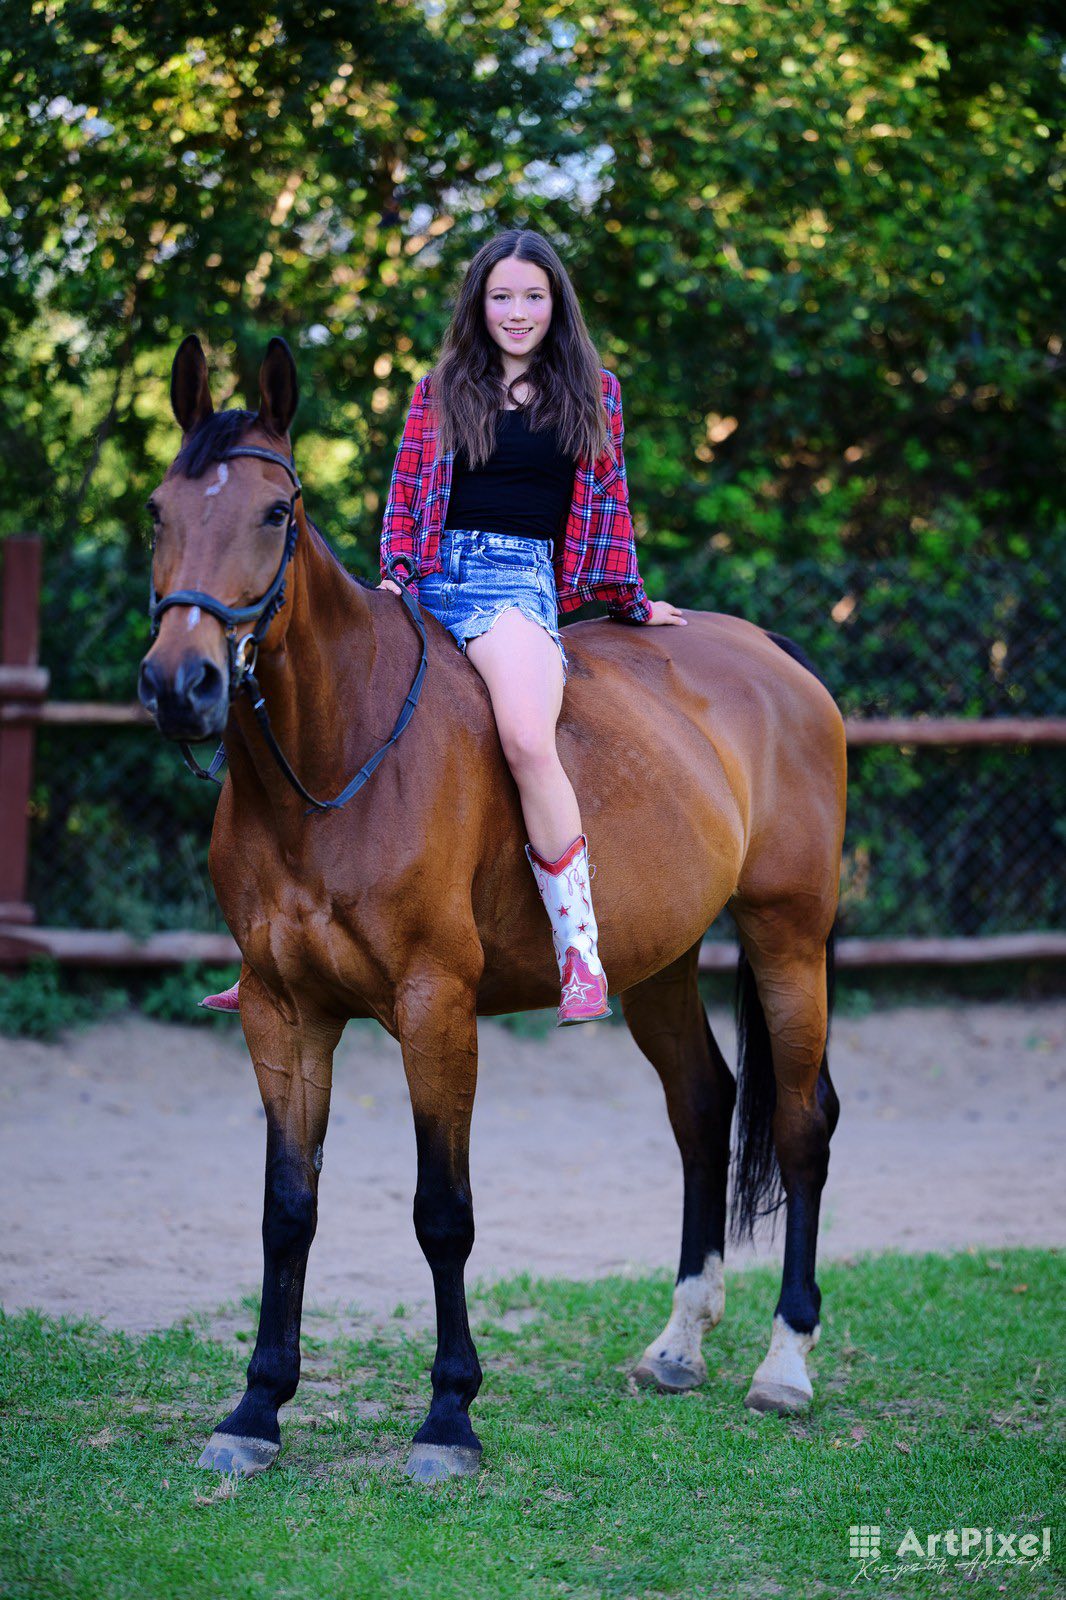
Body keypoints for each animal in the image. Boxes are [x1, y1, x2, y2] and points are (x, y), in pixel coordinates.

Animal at [137, 335, 846, 1485]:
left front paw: (448, 1417)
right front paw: (255, 1407)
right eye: (159, 511)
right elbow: (288, 1209)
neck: (334, 762)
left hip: (790, 938)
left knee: (797, 1124)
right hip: (660, 961)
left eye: (276, 512)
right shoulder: (282, 1012)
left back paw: (784, 1362)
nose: (180, 684)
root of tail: (776, 660)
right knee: (702, 1108)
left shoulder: (435, 1010)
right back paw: (678, 1342)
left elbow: (443, 1213)